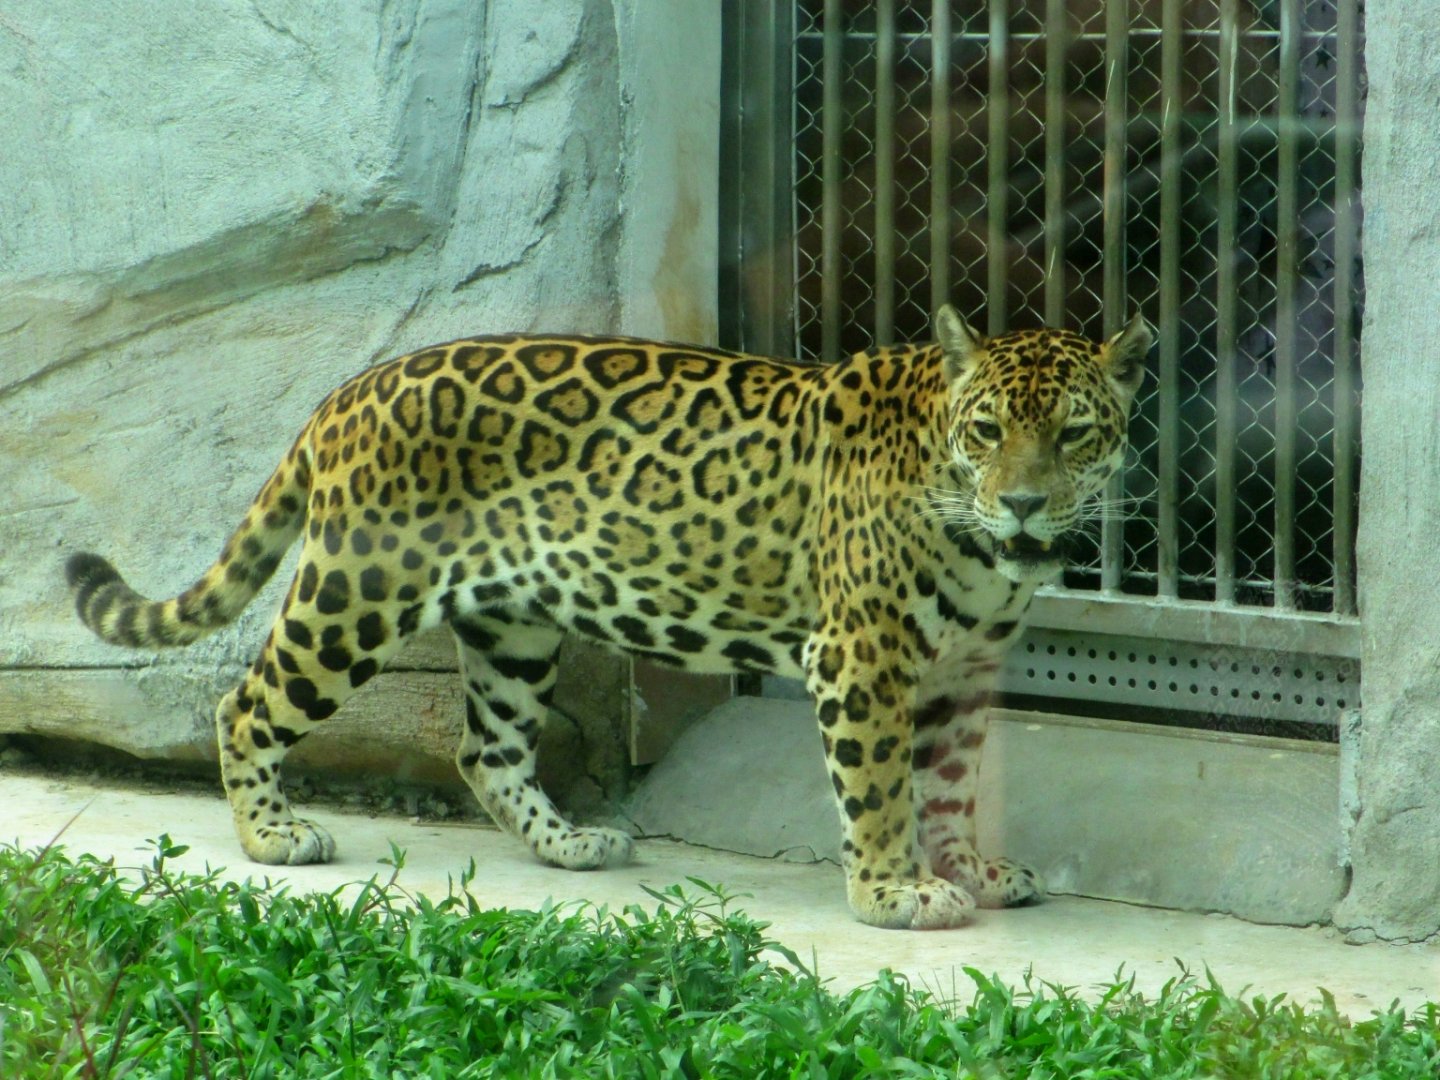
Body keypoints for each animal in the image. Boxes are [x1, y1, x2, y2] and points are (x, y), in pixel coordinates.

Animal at [65, 304, 1151, 930]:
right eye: (989, 431)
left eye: (1073, 434)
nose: (1024, 503)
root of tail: (347, 392)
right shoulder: (862, 657)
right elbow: (882, 787)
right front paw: (894, 892)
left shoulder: (964, 669)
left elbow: (954, 784)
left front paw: (969, 868)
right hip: (356, 593)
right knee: (247, 703)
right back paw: (272, 836)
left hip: (513, 626)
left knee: (487, 750)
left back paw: (568, 844)